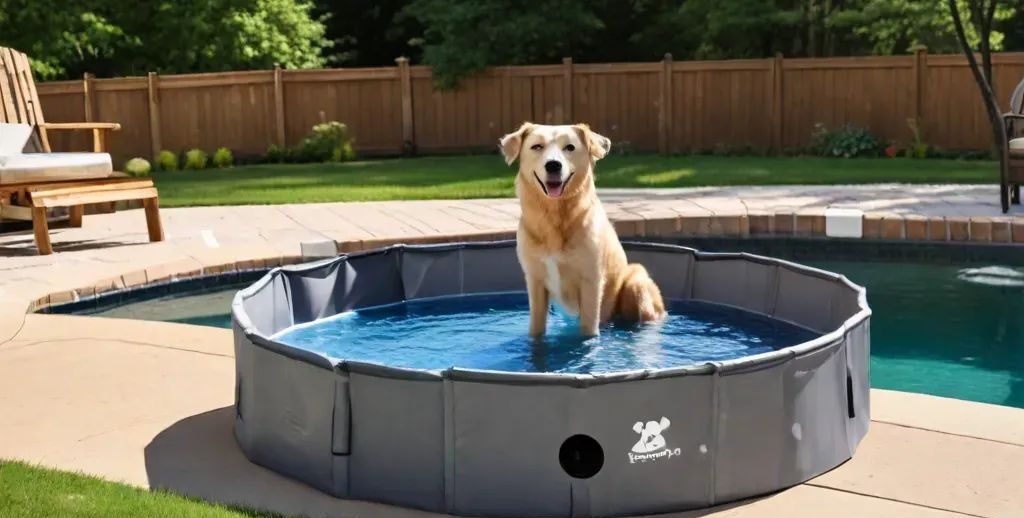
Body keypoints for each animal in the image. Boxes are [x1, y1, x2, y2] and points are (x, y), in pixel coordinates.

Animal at [499, 123, 667, 337]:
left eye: (569, 147)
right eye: (537, 146)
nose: (553, 165)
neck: (555, 216)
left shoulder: (591, 282)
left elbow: (588, 330)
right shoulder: (535, 281)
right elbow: (536, 328)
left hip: (636, 281)